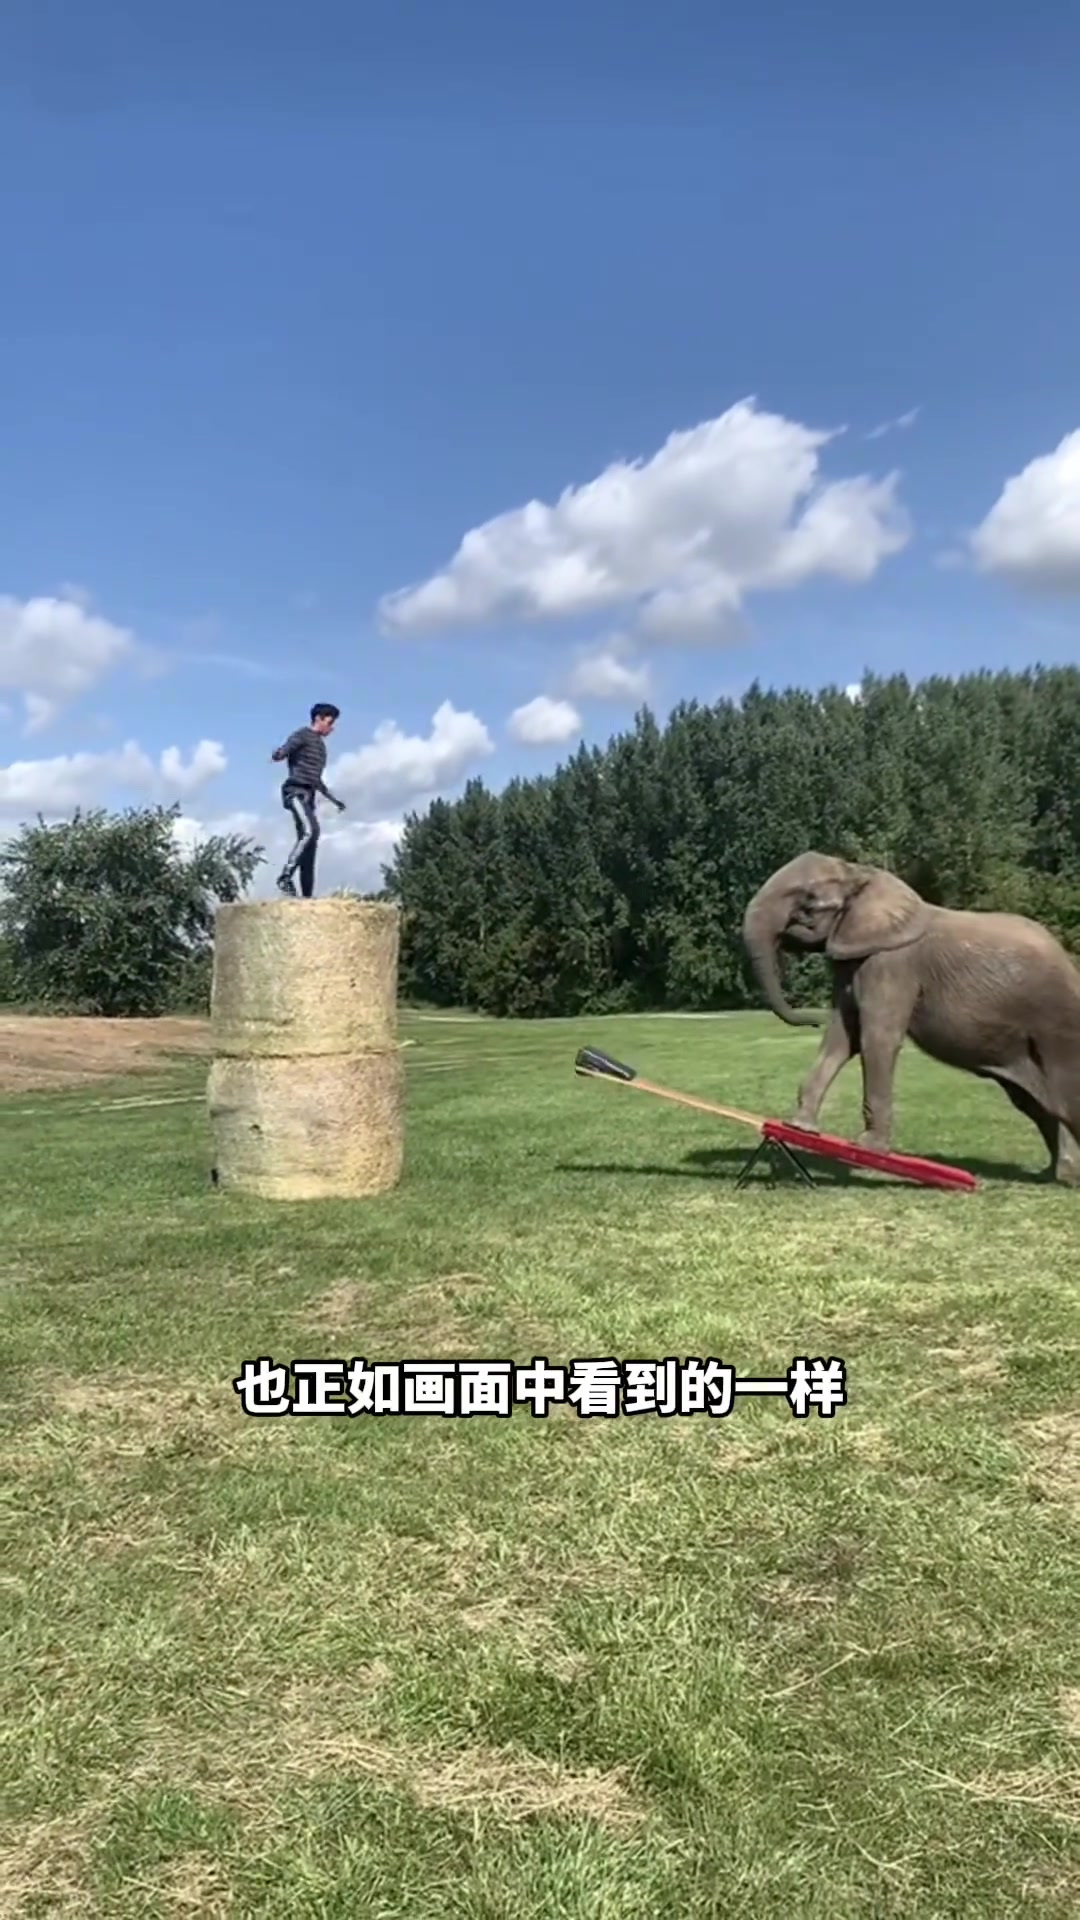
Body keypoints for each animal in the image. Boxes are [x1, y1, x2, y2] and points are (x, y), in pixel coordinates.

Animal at [741, 851, 1080, 1185]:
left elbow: (875, 1038)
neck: (860, 874)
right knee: (1034, 1103)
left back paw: (1066, 1178)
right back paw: (1054, 1174)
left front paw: (867, 1148)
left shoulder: (892, 964)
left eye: (808, 903)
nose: (813, 1019)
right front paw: (799, 1127)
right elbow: (842, 1037)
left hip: (1057, 1025)